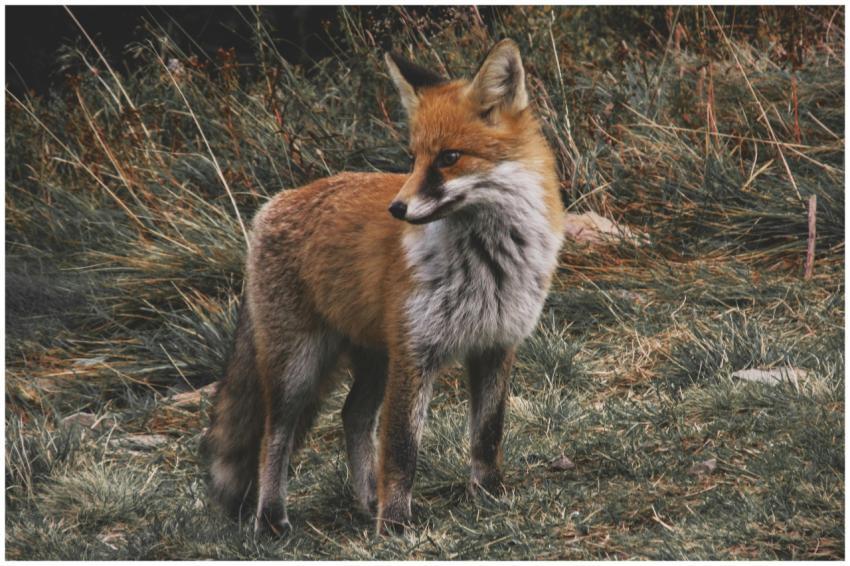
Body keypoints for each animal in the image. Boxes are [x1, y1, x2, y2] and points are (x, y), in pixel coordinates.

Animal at [203, 39, 566, 535]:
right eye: (413, 158)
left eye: (449, 157)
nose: (397, 208)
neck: (487, 262)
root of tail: (273, 204)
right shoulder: (415, 353)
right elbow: (400, 448)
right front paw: (394, 524)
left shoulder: (496, 344)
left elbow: (488, 434)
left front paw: (488, 494)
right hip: (298, 366)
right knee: (273, 435)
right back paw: (273, 517)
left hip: (374, 358)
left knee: (352, 415)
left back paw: (364, 500)